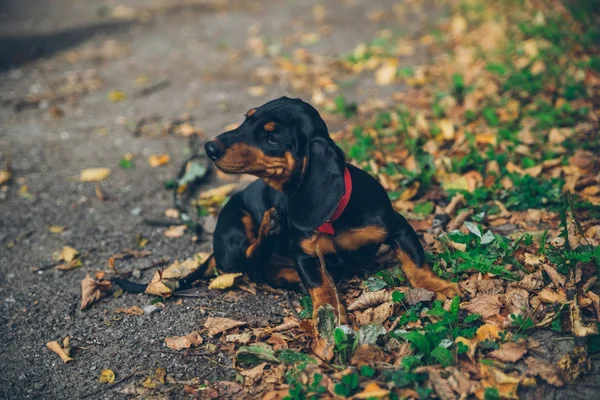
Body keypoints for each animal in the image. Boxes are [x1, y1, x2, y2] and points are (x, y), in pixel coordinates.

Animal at [115, 97, 460, 324]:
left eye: (271, 136)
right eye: (247, 118)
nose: (209, 148)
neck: (334, 219)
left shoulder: (398, 226)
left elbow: (416, 264)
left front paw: (439, 286)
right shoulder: (306, 254)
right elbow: (320, 285)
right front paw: (327, 313)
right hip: (235, 225)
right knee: (251, 261)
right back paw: (270, 227)